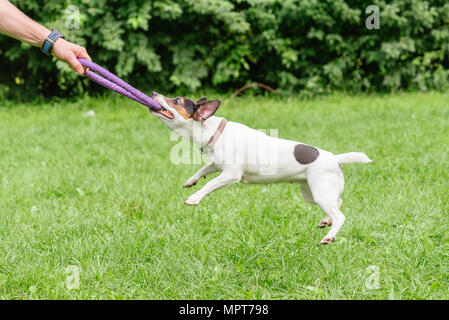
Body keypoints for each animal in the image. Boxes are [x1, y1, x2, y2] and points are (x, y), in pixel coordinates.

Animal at [149, 92, 370, 245]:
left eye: (176, 100)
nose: (152, 93)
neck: (212, 131)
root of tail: (335, 158)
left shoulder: (231, 174)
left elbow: (210, 184)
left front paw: (194, 197)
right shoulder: (218, 164)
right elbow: (204, 169)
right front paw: (191, 181)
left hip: (321, 192)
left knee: (340, 215)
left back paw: (329, 236)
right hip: (312, 193)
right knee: (338, 202)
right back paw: (326, 221)